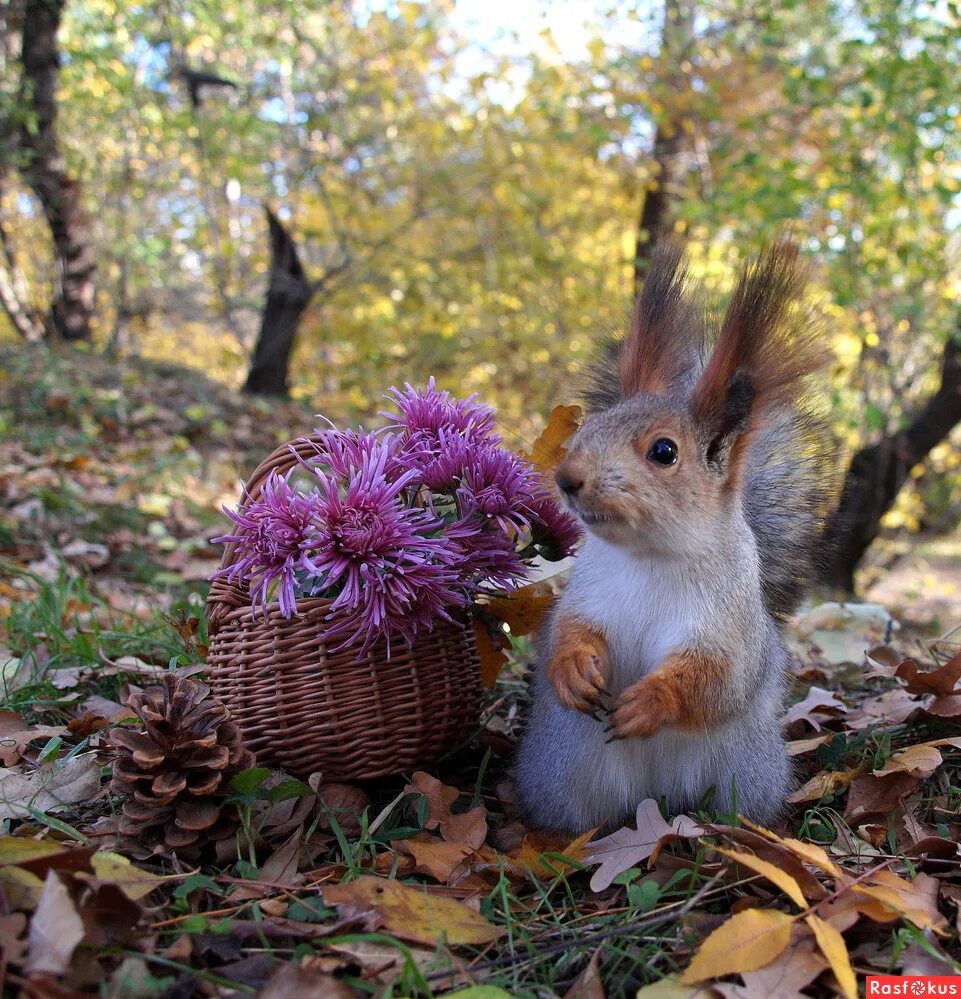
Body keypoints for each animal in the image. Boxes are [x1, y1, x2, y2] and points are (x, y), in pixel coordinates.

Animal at [512, 238, 836, 832]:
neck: (649, 557)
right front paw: (573, 671)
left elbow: (714, 678)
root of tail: (653, 799)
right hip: (565, 779)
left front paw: (650, 703)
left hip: (739, 776)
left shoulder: (729, 624)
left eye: (664, 451)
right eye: (588, 429)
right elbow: (566, 632)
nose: (567, 479)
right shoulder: (585, 594)